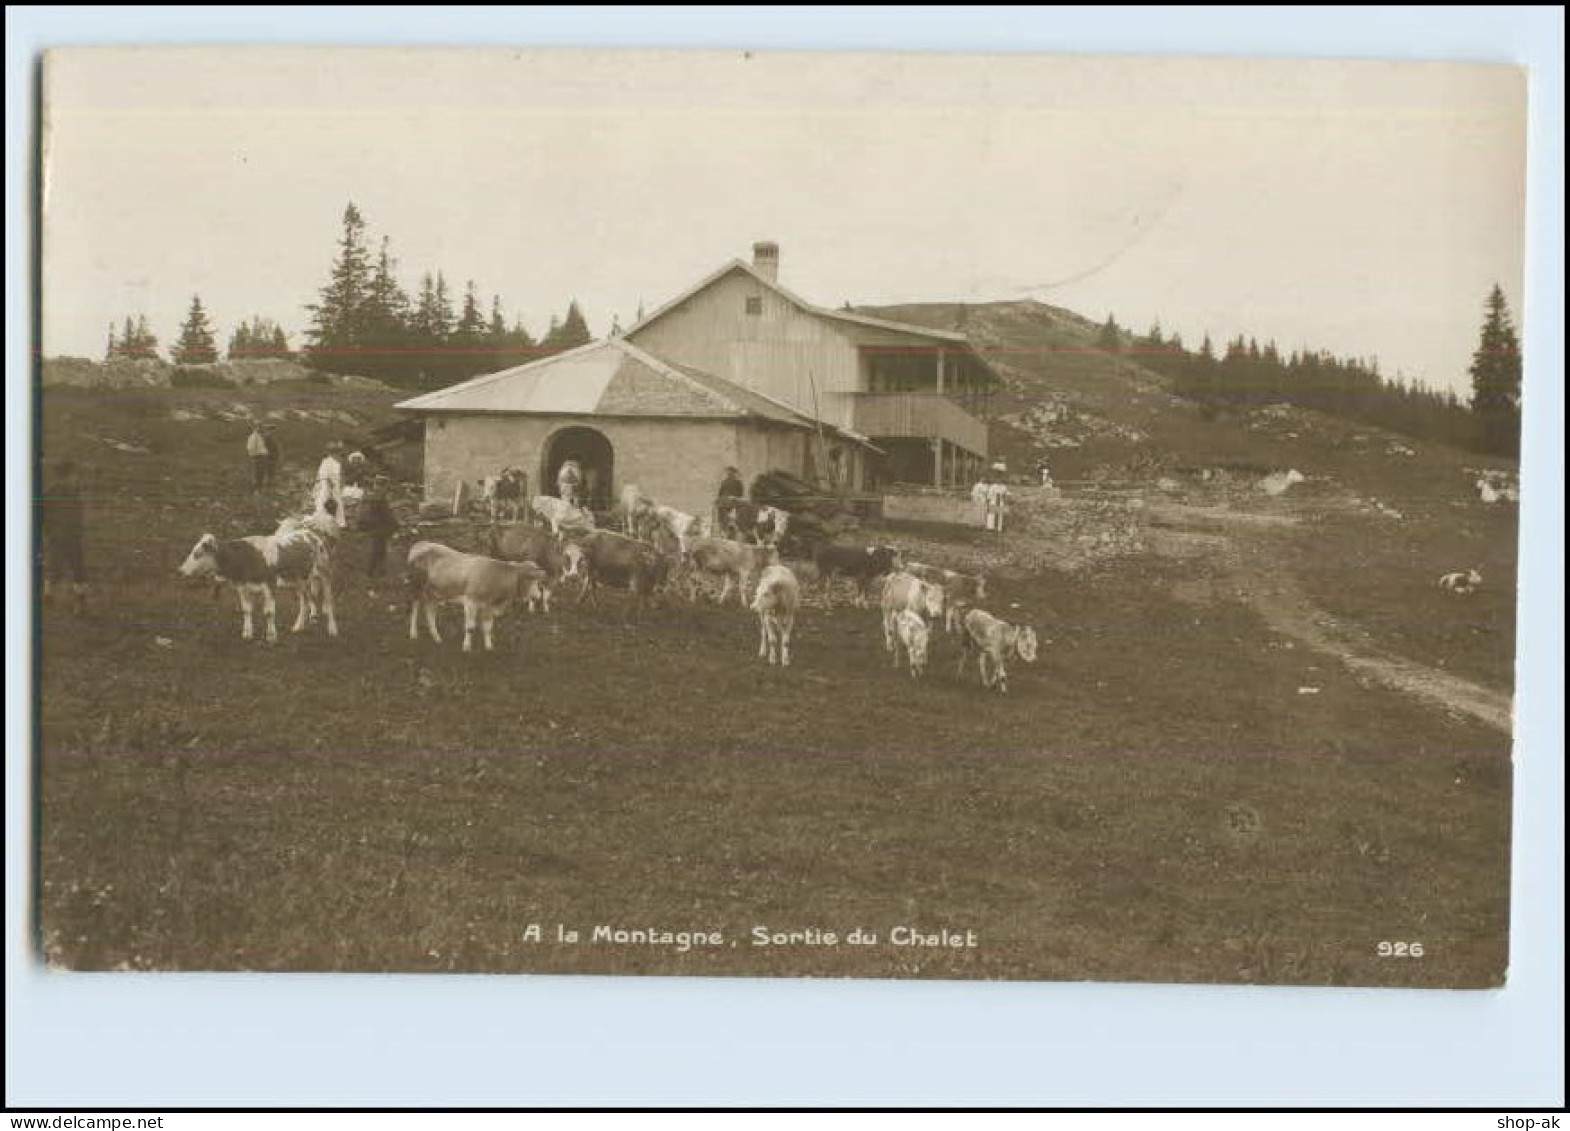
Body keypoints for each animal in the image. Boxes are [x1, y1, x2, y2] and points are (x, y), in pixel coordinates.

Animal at [178, 524, 337, 644]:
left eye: (197, 554)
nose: (181, 570)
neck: (247, 558)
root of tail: (312, 533)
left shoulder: (269, 586)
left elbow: (269, 612)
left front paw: (271, 636)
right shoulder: (243, 587)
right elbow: (246, 610)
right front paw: (247, 633)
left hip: (325, 573)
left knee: (328, 602)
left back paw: (332, 629)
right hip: (299, 580)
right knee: (305, 601)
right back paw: (298, 627)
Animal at [405, 540, 546, 653]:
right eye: (532, 579)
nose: (538, 595)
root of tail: (421, 544)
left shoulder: (489, 605)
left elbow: (488, 627)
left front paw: (489, 647)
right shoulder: (470, 601)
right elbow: (470, 627)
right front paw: (466, 647)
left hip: (434, 592)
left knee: (429, 612)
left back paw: (437, 638)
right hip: (415, 587)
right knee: (414, 609)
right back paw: (413, 634)